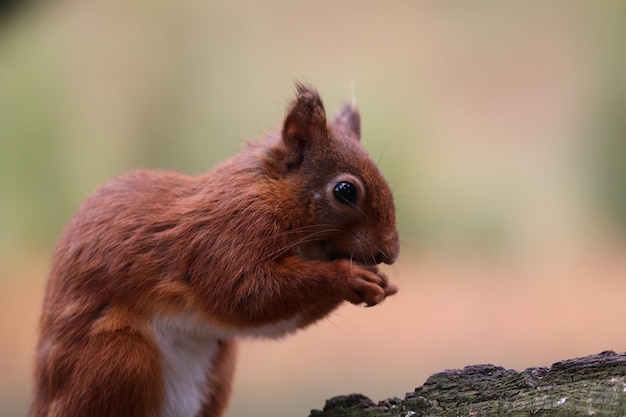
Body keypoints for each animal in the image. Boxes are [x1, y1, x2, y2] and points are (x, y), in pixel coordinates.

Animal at [29, 82, 398, 416]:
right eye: (345, 191)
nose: (390, 254)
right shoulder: (222, 238)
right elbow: (246, 292)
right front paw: (347, 277)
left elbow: (276, 319)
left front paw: (380, 281)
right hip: (118, 359)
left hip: (217, 371)